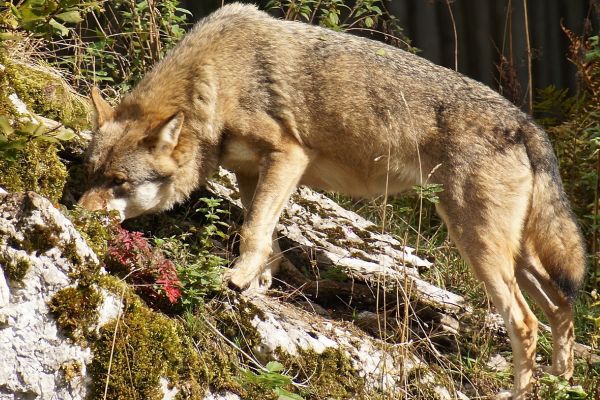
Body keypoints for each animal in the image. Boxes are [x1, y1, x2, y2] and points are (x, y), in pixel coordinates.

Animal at [79, 3, 584, 396]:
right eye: (91, 174)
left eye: (119, 181)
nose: (77, 213)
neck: (216, 79)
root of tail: (527, 123)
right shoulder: (252, 171)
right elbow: (264, 233)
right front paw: (261, 280)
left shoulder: (289, 154)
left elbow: (252, 229)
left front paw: (239, 279)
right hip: (511, 254)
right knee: (562, 308)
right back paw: (562, 384)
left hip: (478, 246)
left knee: (526, 323)